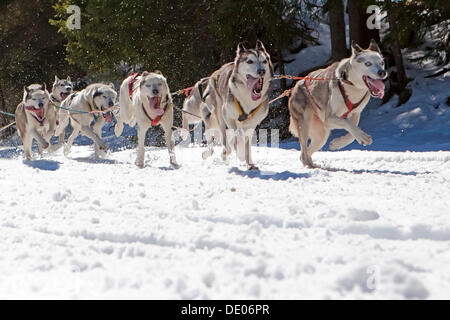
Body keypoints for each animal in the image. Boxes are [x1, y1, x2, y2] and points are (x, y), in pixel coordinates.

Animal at [205, 40, 274, 170]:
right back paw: (227, 151)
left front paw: (249, 162)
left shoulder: (252, 123)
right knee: (225, 138)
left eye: (264, 61)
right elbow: (237, 136)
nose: (262, 71)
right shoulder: (229, 117)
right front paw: (239, 151)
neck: (248, 99)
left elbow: (246, 141)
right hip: (220, 116)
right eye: (249, 61)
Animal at [290, 39, 388, 168]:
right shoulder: (329, 118)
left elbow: (352, 132)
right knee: (304, 151)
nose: (382, 72)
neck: (352, 85)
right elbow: (346, 122)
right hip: (305, 126)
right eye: (368, 63)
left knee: (305, 153)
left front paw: (338, 143)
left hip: (321, 136)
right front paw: (363, 137)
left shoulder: (356, 114)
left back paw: (312, 165)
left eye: (382, 63)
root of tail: (294, 88)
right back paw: (310, 166)